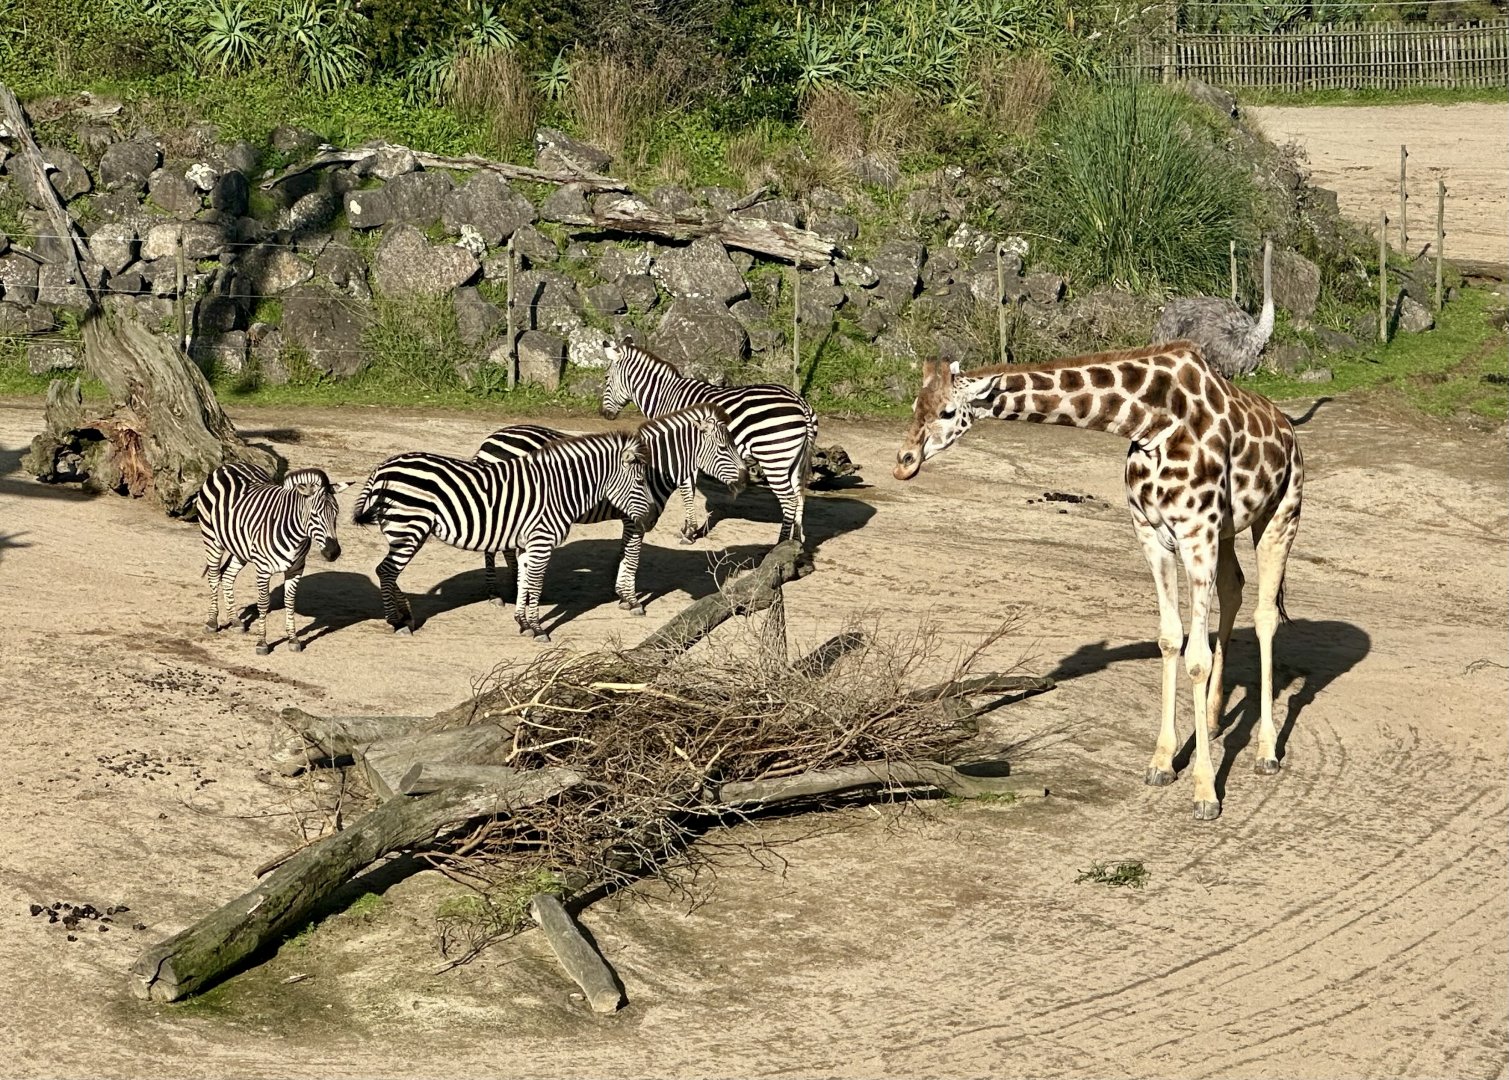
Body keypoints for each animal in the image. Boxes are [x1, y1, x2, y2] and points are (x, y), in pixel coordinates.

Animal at [197, 463, 350, 655]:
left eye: (336, 513)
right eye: (314, 514)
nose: (333, 552)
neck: (295, 534)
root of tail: (228, 466)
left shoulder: (296, 569)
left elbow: (290, 602)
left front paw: (293, 639)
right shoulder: (263, 569)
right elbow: (263, 604)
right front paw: (262, 643)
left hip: (240, 548)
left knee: (227, 576)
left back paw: (235, 621)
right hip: (212, 539)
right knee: (213, 577)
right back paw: (212, 621)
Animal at [351, 429, 653, 642]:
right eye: (640, 481)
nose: (650, 519)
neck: (559, 489)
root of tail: (381, 468)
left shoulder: (528, 545)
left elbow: (524, 582)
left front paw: (523, 623)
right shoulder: (542, 540)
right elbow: (535, 584)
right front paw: (538, 628)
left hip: (408, 530)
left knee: (388, 572)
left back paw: (406, 614)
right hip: (409, 526)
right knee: (386, 571)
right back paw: (397, 622)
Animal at [473, 404, 748, 614]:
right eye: (724, 448)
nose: (746, 479)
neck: (656, 469)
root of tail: (490, 439)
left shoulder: (631, 518)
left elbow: (626, 554)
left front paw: (623, 596)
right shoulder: (636, 518)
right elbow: (633, 558)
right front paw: (633, 601)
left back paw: (514, 585)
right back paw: (495, 594)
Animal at [600, 338, 819, 544]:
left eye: (606, 379)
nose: (604, 414)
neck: (665, 396)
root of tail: (800, 402)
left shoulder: (680, 448)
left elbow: (686, 491)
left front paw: (689, 532)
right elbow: (690, 491)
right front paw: (689, 528)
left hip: (774, 458)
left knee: (789, 500)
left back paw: (779, 543)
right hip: (794, 460)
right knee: (799, 495)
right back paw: (795, 540)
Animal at [893, 341, 1303, 821]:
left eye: (945, 412)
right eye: (914, 406)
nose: (903, 464)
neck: (1152, 423)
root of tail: (1288, 430)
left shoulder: (1195, 531)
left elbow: (1196, 659)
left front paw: (1205, 793)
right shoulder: (1152, 533)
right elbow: (1170, 639)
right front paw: (1162, 763)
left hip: (1280, 514)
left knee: (1265, 615)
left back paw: (1267, 752)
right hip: (1227, 530)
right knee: (1233, 589)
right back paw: (1214, 717)